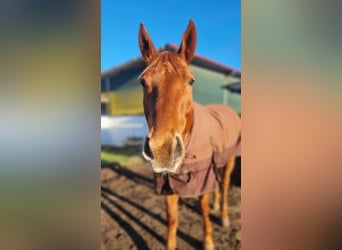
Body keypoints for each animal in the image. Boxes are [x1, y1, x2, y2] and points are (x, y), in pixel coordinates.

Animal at [137, 20, 240, 250]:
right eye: (142, 82)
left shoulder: (201, 176)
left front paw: (208, 241)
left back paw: (224, 216)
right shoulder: (167, 182)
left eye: (191, 81)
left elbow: (202, 208)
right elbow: (172, 218)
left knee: (224, 184)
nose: (163, 149)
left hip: (229, 160)